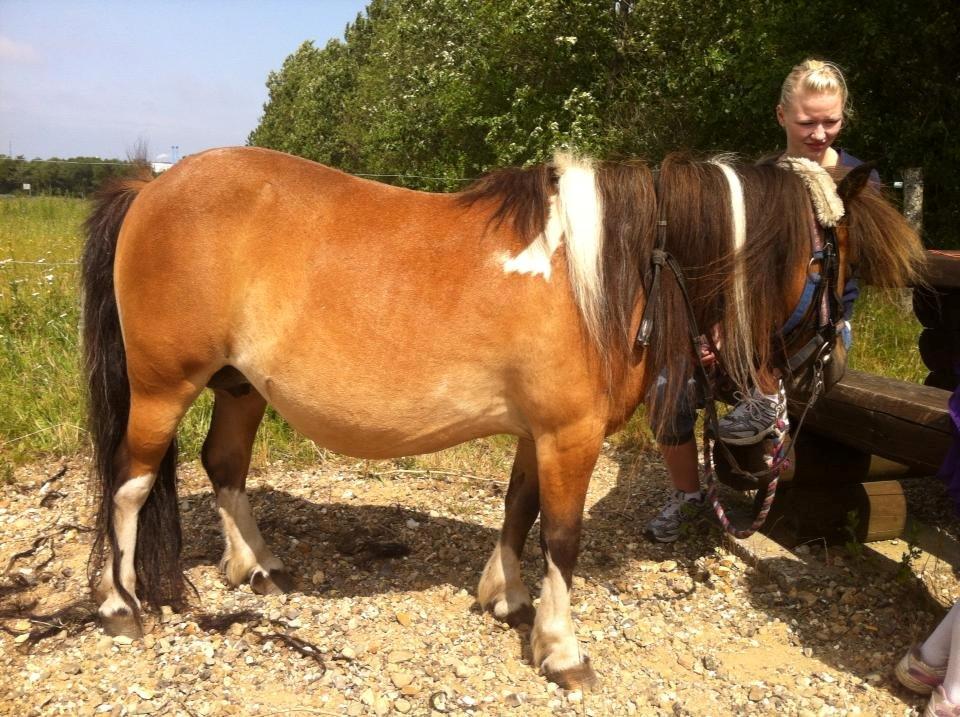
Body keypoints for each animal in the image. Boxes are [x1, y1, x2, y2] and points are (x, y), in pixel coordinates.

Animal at [81, 146, 924, 688]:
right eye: (838, 264)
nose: (827, 371)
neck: (615, 273)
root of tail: (152, 185)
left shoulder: (536, 431)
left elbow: (520, 509)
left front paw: (509, 598)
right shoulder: (570, 435)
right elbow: (565, 535)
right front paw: (562, 648)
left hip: (239, 386)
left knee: (222, 464)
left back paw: (256, 563)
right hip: (163, 386)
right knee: (128, 484)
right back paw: (119, 605)